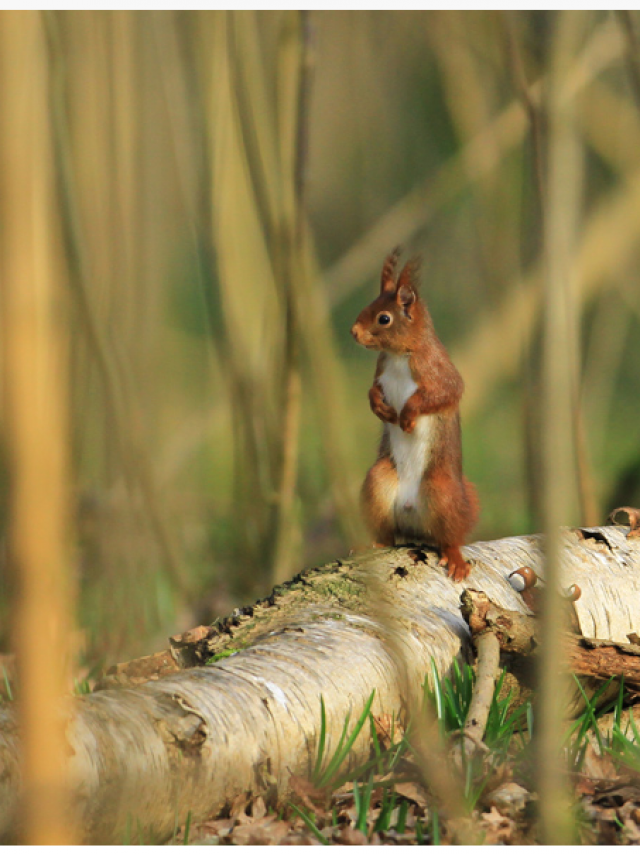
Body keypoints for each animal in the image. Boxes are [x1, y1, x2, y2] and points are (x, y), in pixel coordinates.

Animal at [350, 248, 479, 581]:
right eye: (367, 305)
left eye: (384, 318)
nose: (353, 332)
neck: (399, 355)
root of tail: (413, 521)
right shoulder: (380, 370)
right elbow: (371, 391)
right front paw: (380, 407)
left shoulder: (438, 371)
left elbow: (442, 394)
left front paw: (407, 415)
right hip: (378, 483)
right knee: (386, 535)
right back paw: (371, 545)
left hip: (442, 491)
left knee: (450, 538)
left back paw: (455, 558)